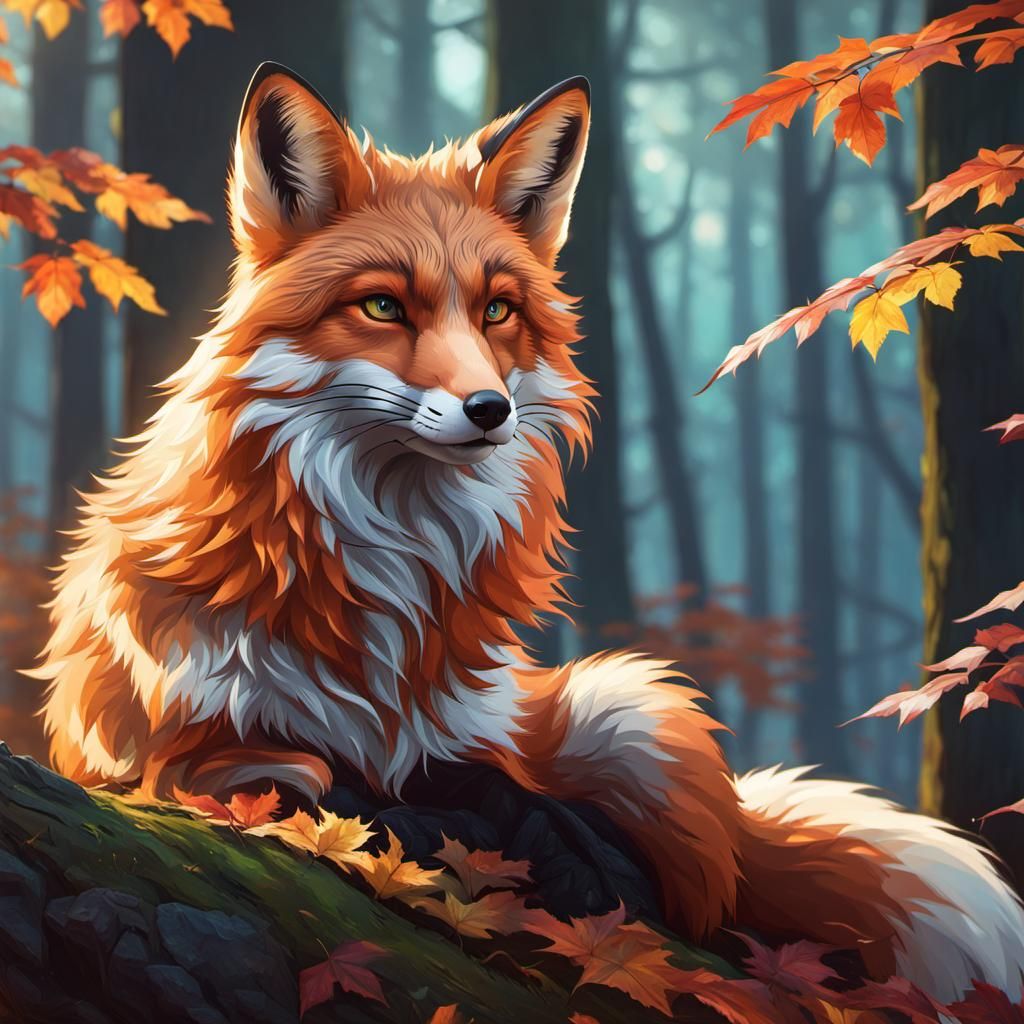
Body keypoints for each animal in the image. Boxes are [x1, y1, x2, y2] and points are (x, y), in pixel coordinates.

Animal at [34, 63, 1024, 1004]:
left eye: (497, 311)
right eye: (383, 307)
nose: (489, 409)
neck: (381, 594)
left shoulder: (465, 736)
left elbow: (506, 790)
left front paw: (563, 852)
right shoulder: (164, 755)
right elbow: (321, 783)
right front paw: (418, 825)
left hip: (626, 713)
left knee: (708, 881)